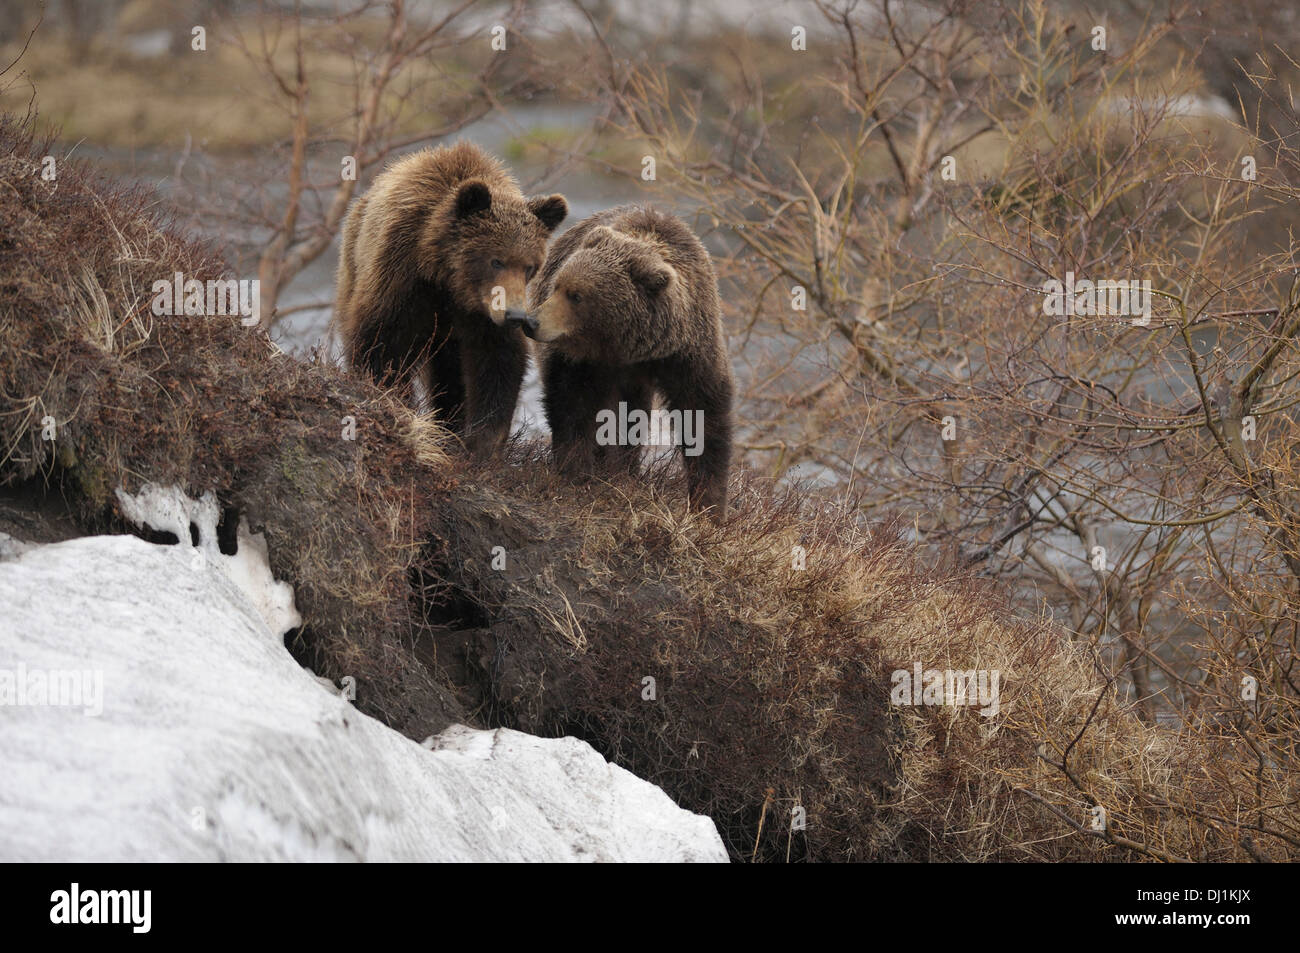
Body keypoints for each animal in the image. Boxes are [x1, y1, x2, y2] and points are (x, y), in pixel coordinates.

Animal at [332, 142, 566, 452]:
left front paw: (483, 440)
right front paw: (398, 405)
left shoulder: (482, 316)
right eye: (496, 261)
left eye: (529, 266)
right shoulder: (402, 279)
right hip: (354, 268)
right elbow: (381, 344)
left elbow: (499, 361)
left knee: (450, 375)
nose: (515, 315)